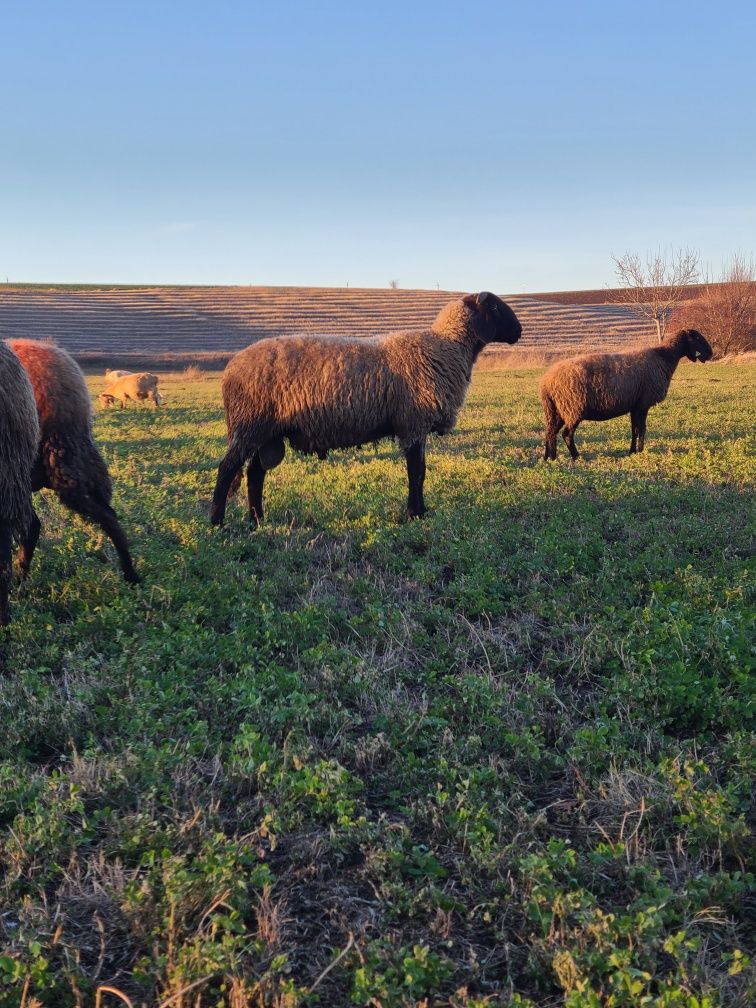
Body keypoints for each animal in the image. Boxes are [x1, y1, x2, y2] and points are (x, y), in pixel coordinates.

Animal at [210, 292, 524, 528]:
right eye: (495, 306)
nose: (520, 331)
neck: (445, 347)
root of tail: (231, 368)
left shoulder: (415, 426)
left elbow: (420, 471)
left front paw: (421, 512)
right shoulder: (413, 423)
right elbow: (416, 472)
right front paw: (414, 514)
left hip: (266, 433)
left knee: (254, 474)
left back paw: (257, 520)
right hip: (250, 424)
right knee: (228, 468)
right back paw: (217, 522)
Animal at [540, 326, 717, 461]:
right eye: (697, 338)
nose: (710, 354)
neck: (664, 357)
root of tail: (546, 382)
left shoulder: (635, 405)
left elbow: (635, 429)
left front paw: (632, 452)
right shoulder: (643, 404)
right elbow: (642, 429)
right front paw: (640, 451)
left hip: (557, 410)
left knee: (550, 432)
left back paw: (549, 458)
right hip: (573, 408)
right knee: (566, 434)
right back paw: (576, 457)